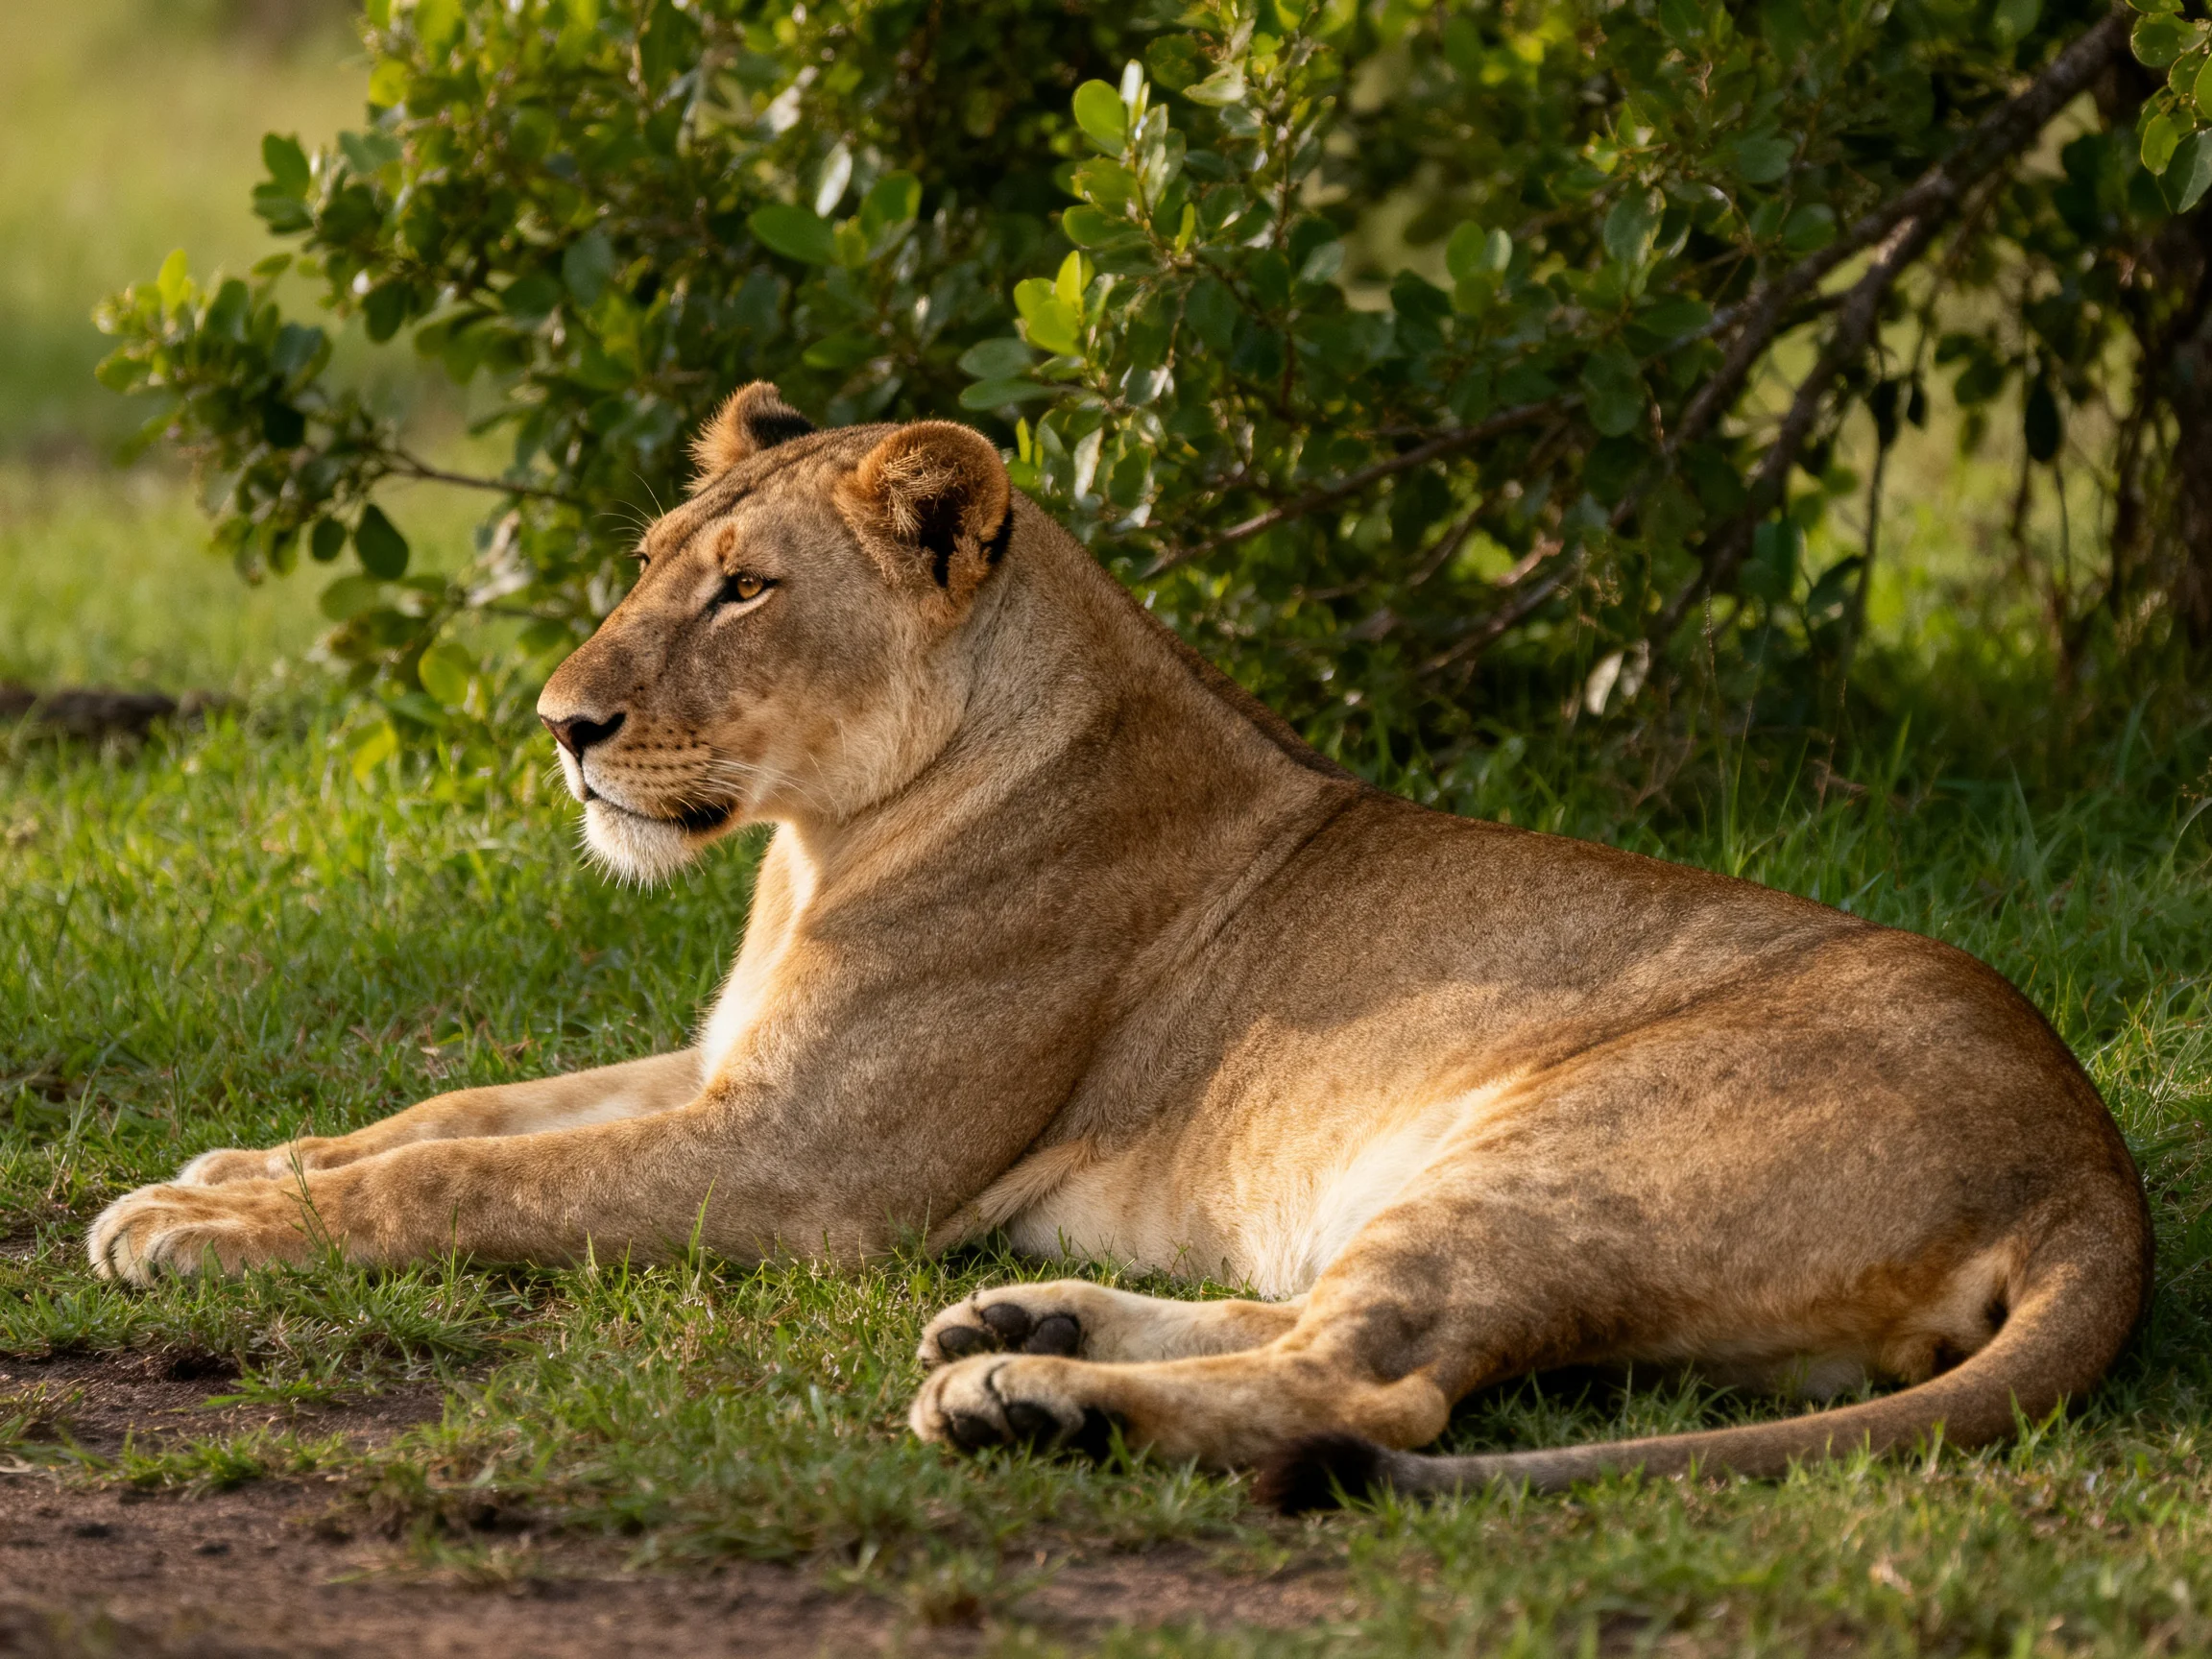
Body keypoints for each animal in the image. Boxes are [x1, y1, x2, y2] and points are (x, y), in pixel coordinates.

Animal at [89, 384, 2150, 1504]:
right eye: (656, 559)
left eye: (744, 588)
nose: (558, 723)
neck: (811, 845)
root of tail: (2087, 1163)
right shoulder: (719, 1066)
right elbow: (453, 1112)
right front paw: (233, 1164)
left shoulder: (802, 1166)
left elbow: (463, 1186)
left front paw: (207, 1228)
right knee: (1315, 1320)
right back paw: (1025, 1332)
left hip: (1560, 1150)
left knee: (1363, 1386)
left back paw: (1019, 1402)